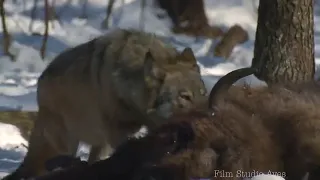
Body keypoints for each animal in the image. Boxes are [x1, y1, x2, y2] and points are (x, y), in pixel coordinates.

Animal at [3, 28, 208, 180]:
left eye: (203, 94)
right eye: (185, 97)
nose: (209, 115)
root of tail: (40, 81)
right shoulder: (117, 134)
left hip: (97, 144)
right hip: (66, 145)